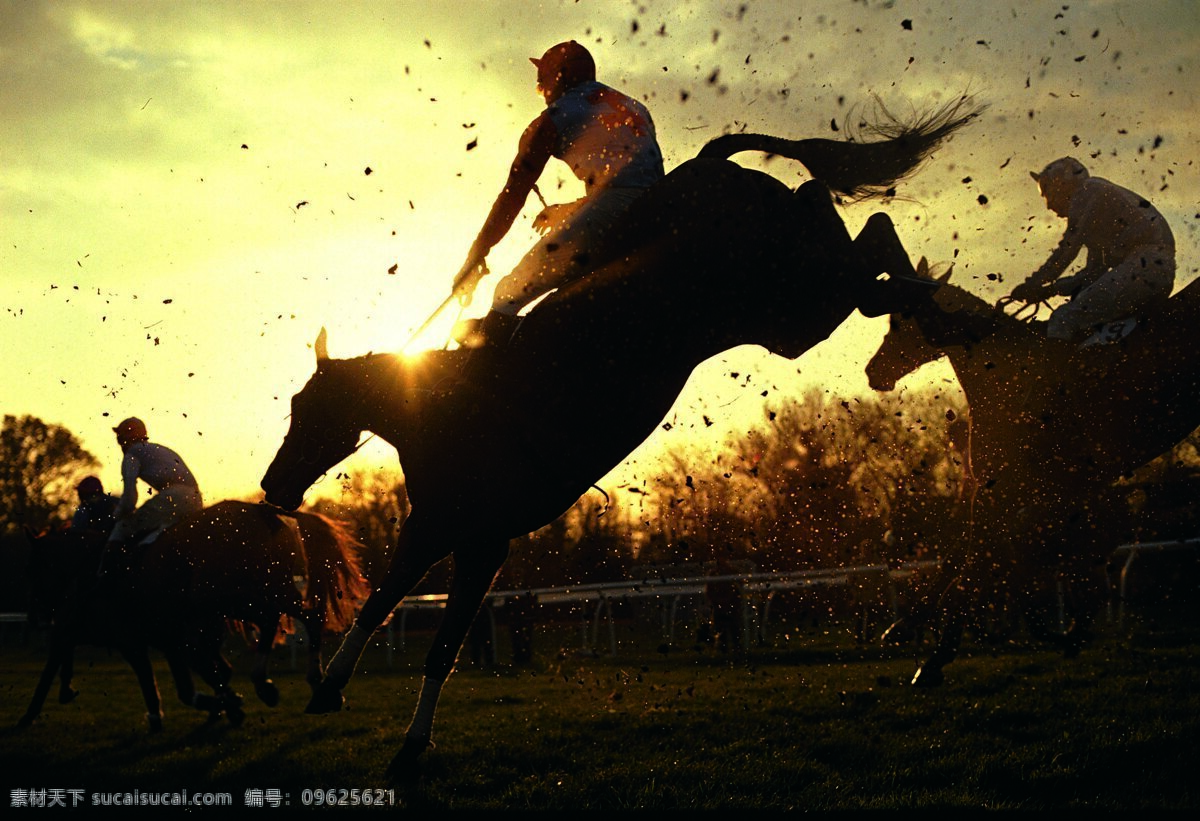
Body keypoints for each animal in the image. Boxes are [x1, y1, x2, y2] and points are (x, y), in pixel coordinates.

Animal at [18, 504, 364, 729]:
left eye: (33, 568)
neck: (92, 569)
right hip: (262, 593)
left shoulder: (144, 638)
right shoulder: (158, 639)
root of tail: (267, 513)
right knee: (298, 617)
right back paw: (295, 683)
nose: (37, 617)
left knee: (289, 618)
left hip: (248, 595)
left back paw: (282, 682)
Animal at [262, 97, 984, 782]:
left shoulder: (481, 538)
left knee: (869, 250)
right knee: (847, 228)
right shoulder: (435, 524)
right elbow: (382, 600)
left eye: (309, 408)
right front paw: (329, 688)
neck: (440, 407)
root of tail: (711, 165)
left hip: (796, 300)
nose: (273, 485)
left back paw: (934, 297)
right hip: (789, 306)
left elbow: (440, 646)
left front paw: (410, 746)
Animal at [868, 259, 1200, 681]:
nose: (873, 371)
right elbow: (964, 556)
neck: (1005, 373)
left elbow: (972, 563)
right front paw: (905, 626)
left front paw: (934, 656)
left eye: (900, 320)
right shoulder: (1016, 492)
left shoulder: (1007, 488)